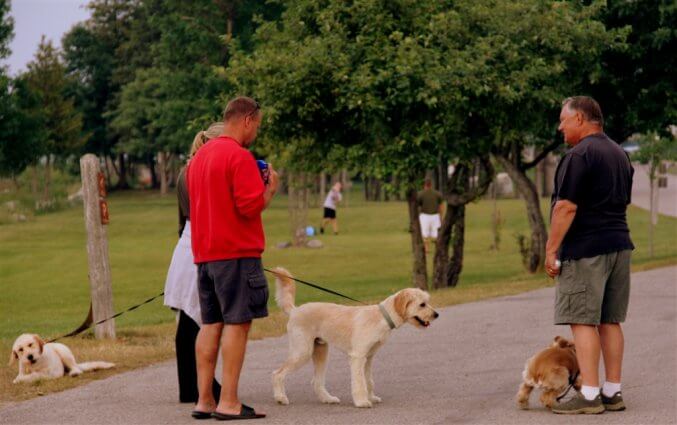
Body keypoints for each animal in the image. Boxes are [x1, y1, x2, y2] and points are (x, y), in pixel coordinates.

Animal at [270, 268, 438, 408]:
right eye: (422, 304)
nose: (436, 315)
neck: (380, 317)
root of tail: (295, 310)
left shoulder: (369, 357)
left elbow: (368, 380)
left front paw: (371, 397)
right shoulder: (358, 357)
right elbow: (359, 382)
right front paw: (362, 401)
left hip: (321, 352)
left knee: (316, 382)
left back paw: (328, 399)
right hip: (302, 352)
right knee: (277, 374)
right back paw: (280, 398)